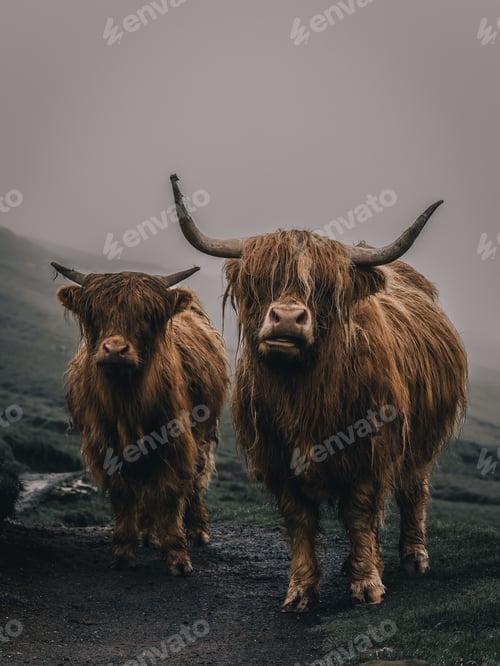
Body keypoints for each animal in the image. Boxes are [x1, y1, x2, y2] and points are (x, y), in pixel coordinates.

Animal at [52, 262, 229, 574]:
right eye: (95, 313)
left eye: (146, 315)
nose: (115, 350)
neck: (128, 401)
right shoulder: (105, 445)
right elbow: (123, 495)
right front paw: (124, 550)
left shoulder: (175, 442)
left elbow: (169, 495)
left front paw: (177, 556)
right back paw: (146, 534)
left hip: (203, 434)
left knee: (195, 481)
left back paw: (197, 531)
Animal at [170, 174, 467, 611]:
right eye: (261, 281)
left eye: (325, 288)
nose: (287, 318)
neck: (301, 395)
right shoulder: (277, 458)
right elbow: (300, 520)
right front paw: (300, 590)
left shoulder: (369, 450)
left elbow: (359, 513)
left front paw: (367, 584)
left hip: (421, 442)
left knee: (414, 491)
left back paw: (414, 557)